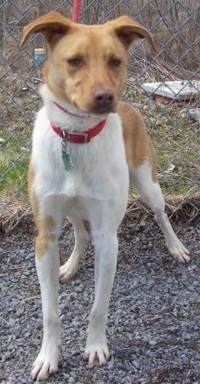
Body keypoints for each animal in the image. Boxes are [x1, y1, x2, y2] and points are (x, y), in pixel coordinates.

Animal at [21, 12, 190, 380]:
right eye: (74, 61)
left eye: (115, 61)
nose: (104, 97)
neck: (76, 135)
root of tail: (128, 105)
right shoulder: (45, 235)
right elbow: (50, 311)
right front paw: (47, 356)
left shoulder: (108, 237)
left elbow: (99, 305)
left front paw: (95, 347)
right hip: (72, 210)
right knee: (80, 234)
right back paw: (69, 265)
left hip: (147, 182)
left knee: (161, 214)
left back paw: (176, 247)